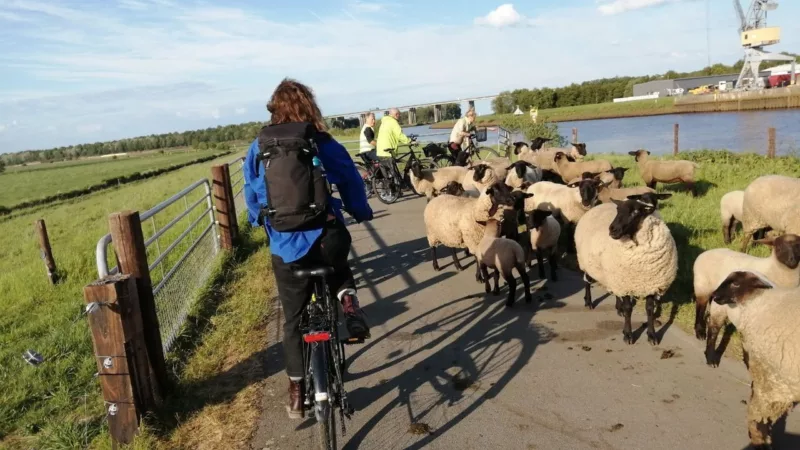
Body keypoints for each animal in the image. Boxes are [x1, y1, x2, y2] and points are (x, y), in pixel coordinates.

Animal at [572, 192, 680, 344]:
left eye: (635, 212)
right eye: (618, 210)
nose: (612, 229)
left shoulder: (650, 283)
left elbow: (649, 309)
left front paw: (652, 334)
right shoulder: (627, 282)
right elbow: (629, 309)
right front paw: (628, 334)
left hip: (614, 275)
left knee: (615, 291)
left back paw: (619, 308)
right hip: (586, 261)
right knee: (587, 282)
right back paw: (589, 302)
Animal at [692, 234, 800, 368]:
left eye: (798, 246)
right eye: (779, 248)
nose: (792, 260)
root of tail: (706, 252)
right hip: (702, 286)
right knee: (701, 308)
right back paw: (700, 333)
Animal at [708, 270, 800, 450]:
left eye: (736, 283)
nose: (714, 295)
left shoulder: (772, 377)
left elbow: (760, 412)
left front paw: (760, 438)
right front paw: (760, 438)